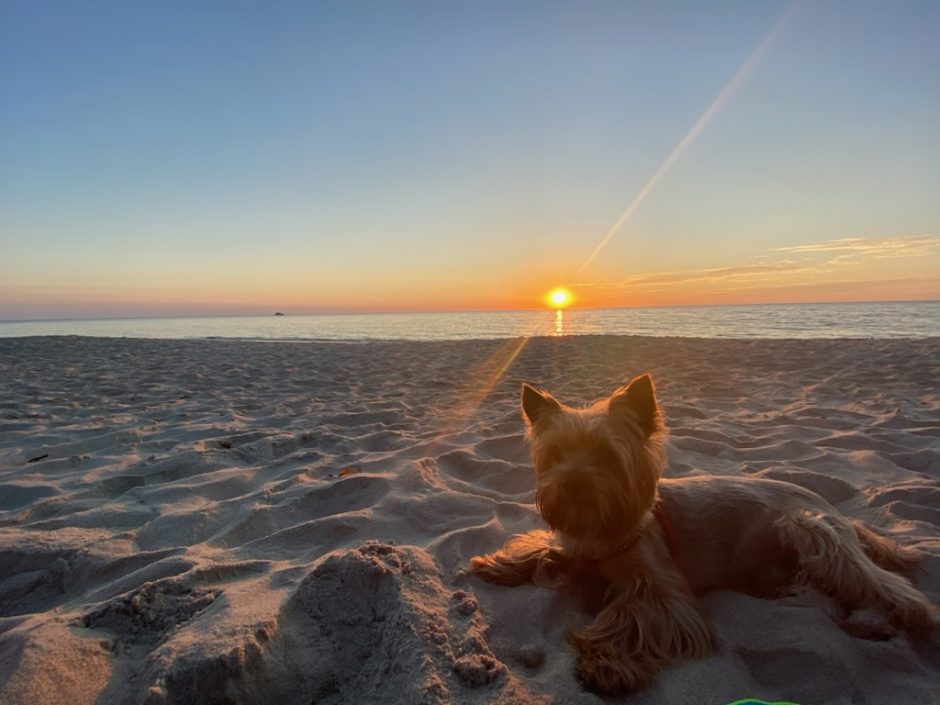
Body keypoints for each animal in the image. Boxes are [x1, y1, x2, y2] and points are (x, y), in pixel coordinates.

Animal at [470, 374, 940, 692]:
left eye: (605, 455)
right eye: (554, 454)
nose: (570, 484)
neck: (601, 528)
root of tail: (831, 507)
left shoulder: (662, 592)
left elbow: (629, 617)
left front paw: (604, 661)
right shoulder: (573, 545)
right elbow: (541, 550)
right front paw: (498, 563)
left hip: (808, 527)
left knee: (888, 588)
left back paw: (888, 620)